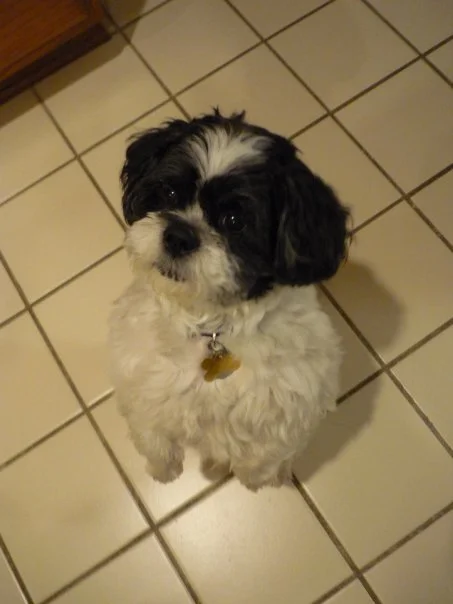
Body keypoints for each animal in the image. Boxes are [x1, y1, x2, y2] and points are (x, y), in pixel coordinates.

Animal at [109, 110, 349, 490]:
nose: (179, 235)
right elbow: (151, 429)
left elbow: (267, 453)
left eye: (234, 221)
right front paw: (164, 468)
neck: (210, 325)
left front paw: (255, 478)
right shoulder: (138, 373)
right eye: (170, 192)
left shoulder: (295, 403)